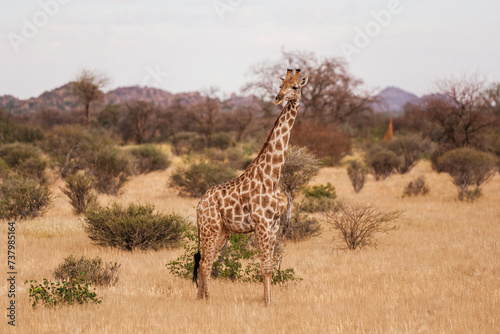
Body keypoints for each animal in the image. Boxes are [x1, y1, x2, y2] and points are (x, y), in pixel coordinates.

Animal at [192, 68, 306, 306]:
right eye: (281, 85)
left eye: (294, 87)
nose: (277, 98)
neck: (273, 175)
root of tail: (199, 205)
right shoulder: (262, 224)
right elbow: (265, 268)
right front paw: (266, 303)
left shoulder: (274, 225)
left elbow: (269, 266)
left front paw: (269, 301)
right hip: (210, 228)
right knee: (205, 262)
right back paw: (207, 300)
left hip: (222, 230)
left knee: (206, 260)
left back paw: (201, 298)